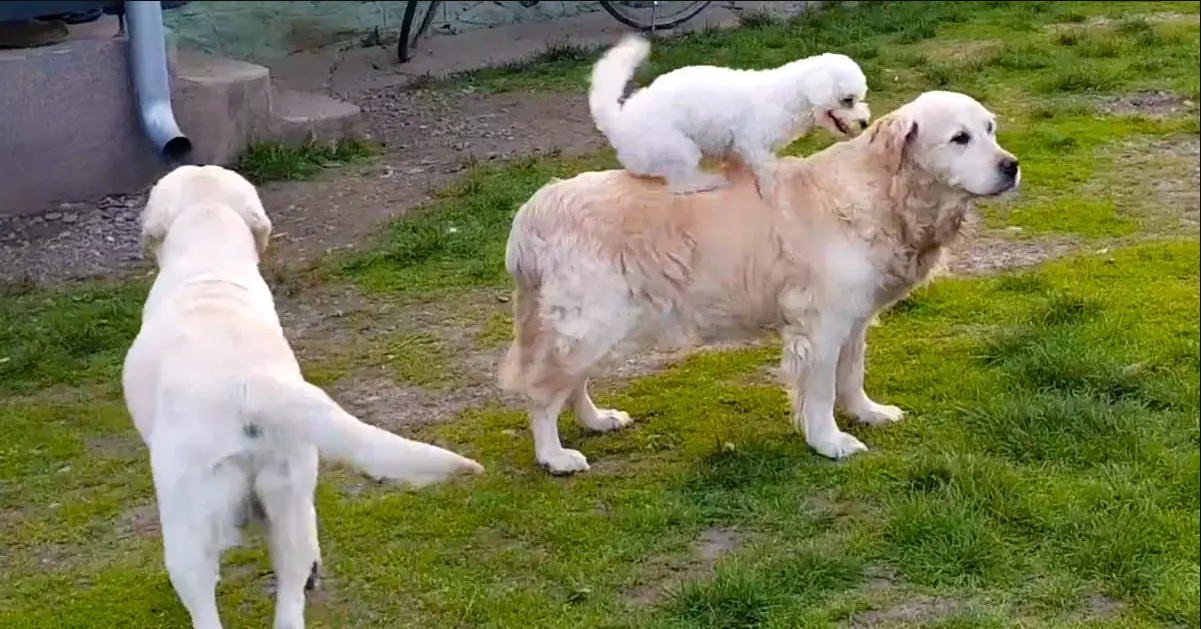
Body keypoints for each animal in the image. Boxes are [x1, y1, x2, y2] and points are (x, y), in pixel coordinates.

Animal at [119, 165, 480, 629]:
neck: (209, 255)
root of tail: (252, 384)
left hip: (189, 525)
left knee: (203, 601)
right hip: (292, 500)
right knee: (292, 590)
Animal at [502, 90, 1018, 475]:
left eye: (990, 129)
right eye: (959, 138)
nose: (1011, 165)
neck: (886, 192)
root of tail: (532, 209)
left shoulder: (854, 319)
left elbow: (852, 374)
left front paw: (868, 413)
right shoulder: (821, 326)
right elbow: (821, 390)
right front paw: (830, 441)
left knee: (573, 381)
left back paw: (596, 420)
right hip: (592, 321)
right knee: (543, 390)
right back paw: (554, 456)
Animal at [588, 34, 874, 196]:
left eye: (859, 98)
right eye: (847, 100)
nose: (864, 122)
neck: (791, 96)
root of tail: (618, 121)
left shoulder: (741, 147)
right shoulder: (753, 142)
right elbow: (766, 169)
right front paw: (772, 191)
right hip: (678, 148)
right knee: (680, 184)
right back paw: (708, 182)